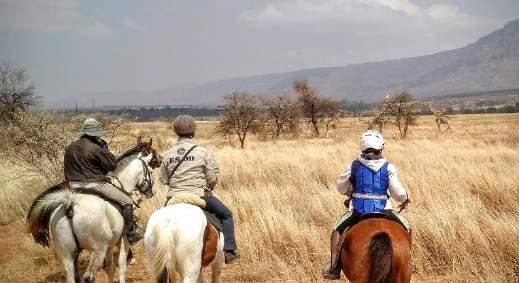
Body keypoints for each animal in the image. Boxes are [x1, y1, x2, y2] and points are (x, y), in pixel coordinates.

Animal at [26, 140, 159, 283]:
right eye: (151, 171)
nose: (153, 192)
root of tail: (70, 206)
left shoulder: (109, 246)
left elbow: (110, 269)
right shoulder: (123, 241)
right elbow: (122, 269)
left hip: (68, 255)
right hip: (97, 251)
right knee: (88, 277)